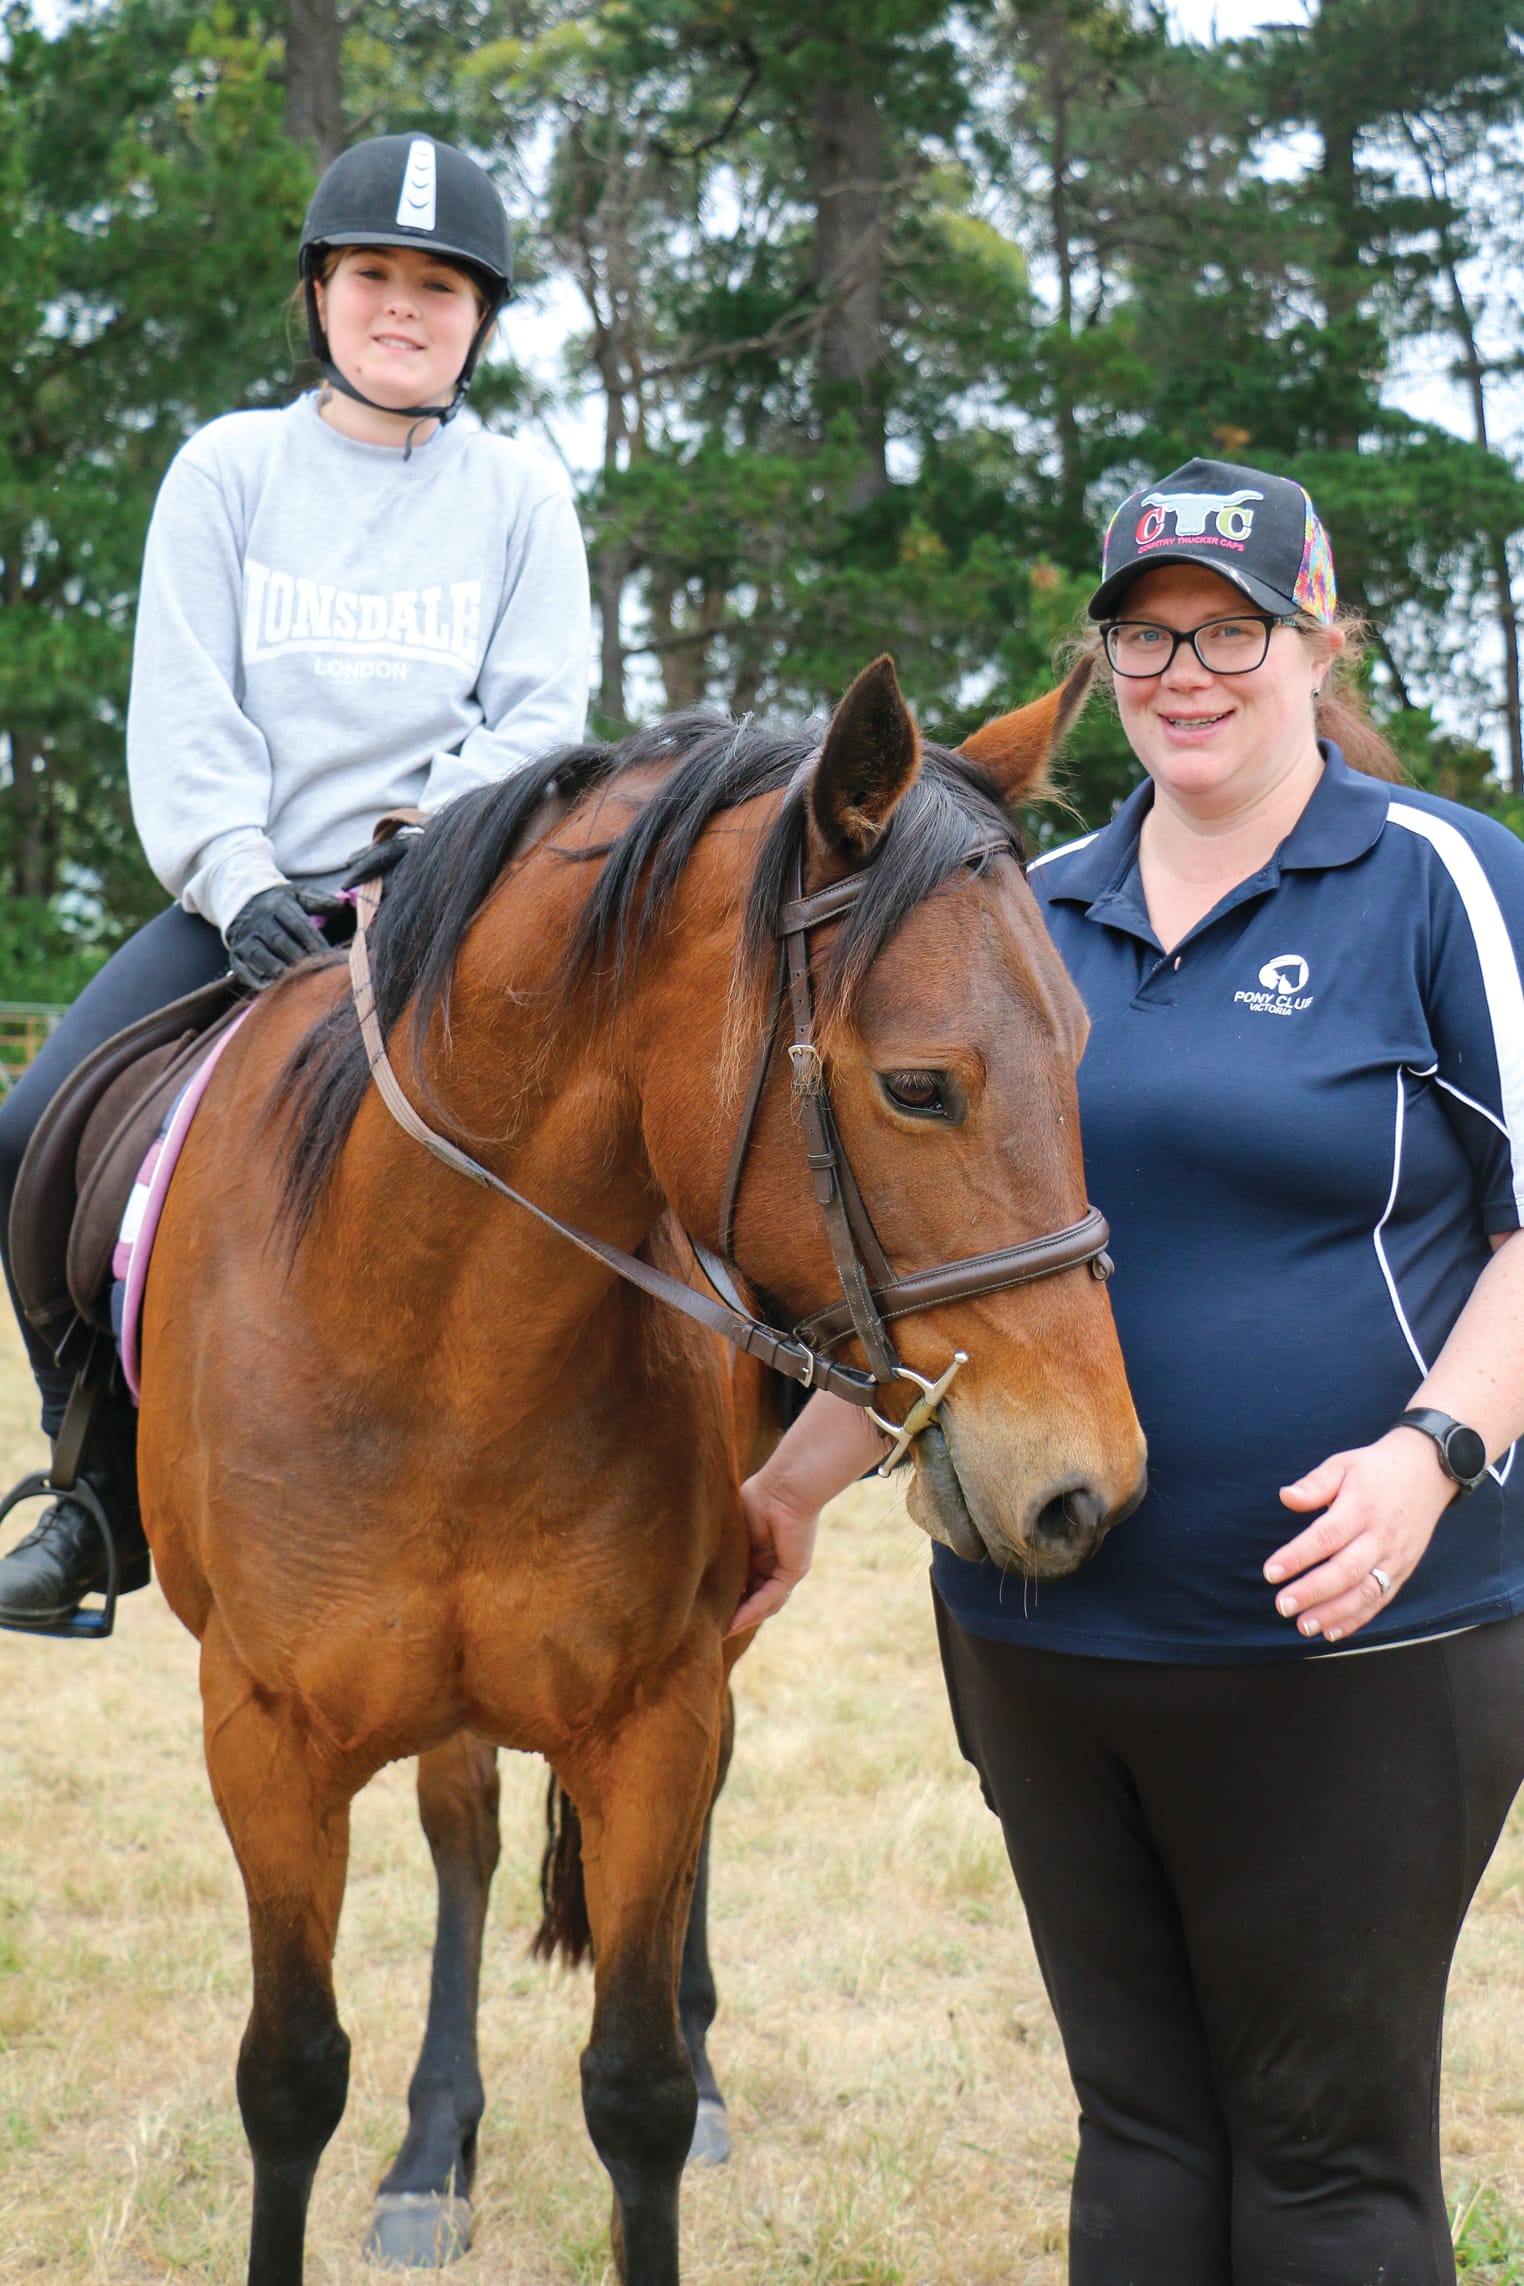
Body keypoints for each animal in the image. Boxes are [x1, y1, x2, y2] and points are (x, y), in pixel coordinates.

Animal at [136, 654, 1145, 2285]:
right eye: (920, 1087)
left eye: (1079, 1052)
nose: (1087, 1491)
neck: (437, 1344)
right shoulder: (260, 1733)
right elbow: (288, 2077)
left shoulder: (655, 1711)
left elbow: (638, 2095)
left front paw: (682, 2075)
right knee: (466, 1831)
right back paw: (431, 2152)